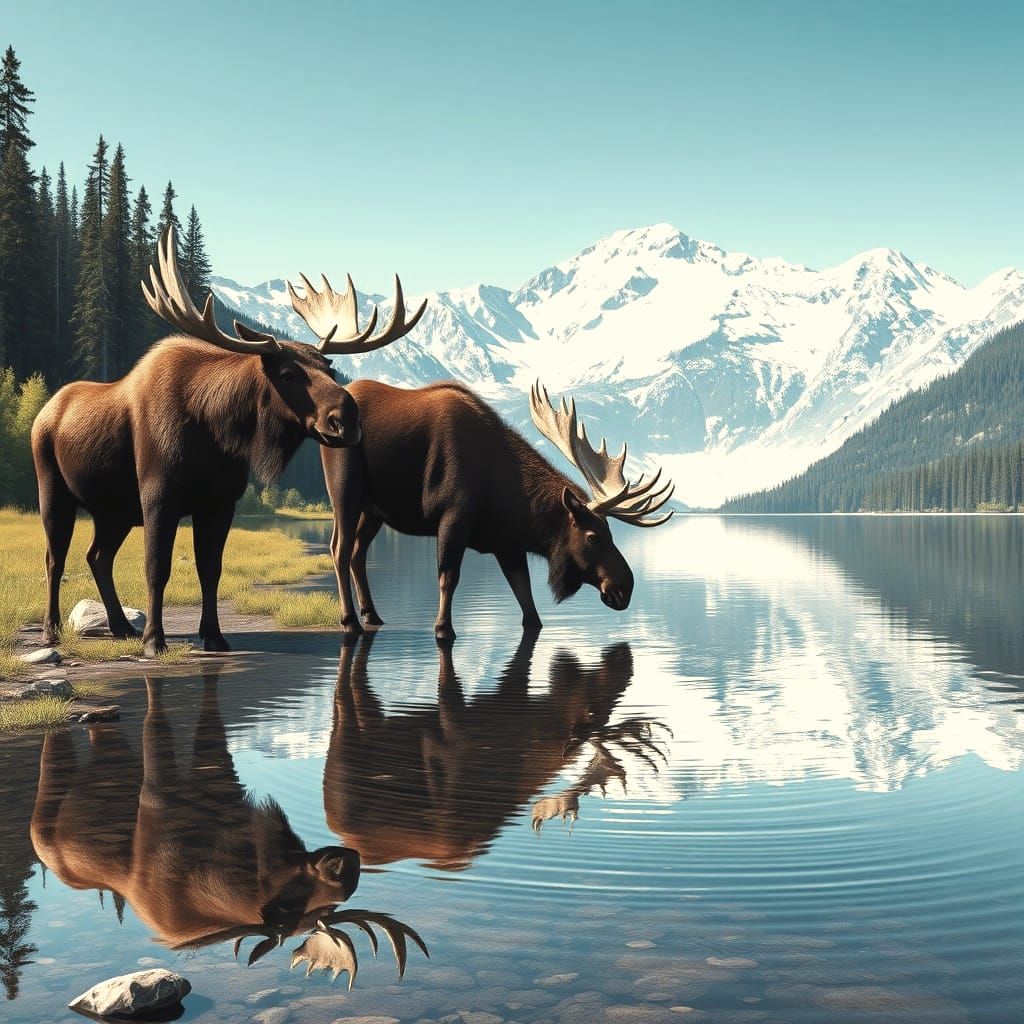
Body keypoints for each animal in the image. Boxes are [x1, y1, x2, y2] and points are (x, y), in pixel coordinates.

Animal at [31, 228, 425, 655]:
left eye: (330, 369)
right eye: (287, 374)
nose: (347, 419)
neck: (217, 434)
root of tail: (43, 414)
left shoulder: (221, 501)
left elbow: (211, 569)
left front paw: (215, 636)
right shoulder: (158, 494)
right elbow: (157, 567)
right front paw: (155, 640)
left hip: (114, 511)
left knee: (98, 556)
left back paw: (120, 625)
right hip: (54, 489)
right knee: (55, 558)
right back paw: (52, 630)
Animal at [285, 273, 674, 640]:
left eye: (610, 532)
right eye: (593, 537)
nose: (625, 587)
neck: (513, 501)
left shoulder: (508, 544)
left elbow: (527, 604)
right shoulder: (453, 516)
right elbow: (449, 576)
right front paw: (443, 628)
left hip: (374, 508)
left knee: (357, 552)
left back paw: (372, 614)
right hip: (346, 489)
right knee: (338, 547)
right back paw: (350, 620)